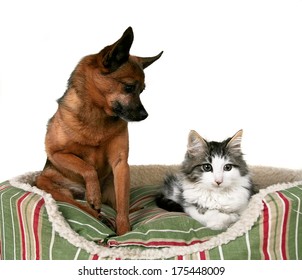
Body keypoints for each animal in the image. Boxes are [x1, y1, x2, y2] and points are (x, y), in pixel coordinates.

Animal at [34, 27, 163, 235]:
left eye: (142, 90)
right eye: (129, 87)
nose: (145, 115)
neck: (99, 115)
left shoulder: (120, 165)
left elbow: (122, 207)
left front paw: (124, 232)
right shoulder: (56, 153)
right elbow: (87, 167)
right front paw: (94, 193)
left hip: (113, 185)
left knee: (118, 205)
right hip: (49, 185)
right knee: (80, 206)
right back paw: (96, 212)